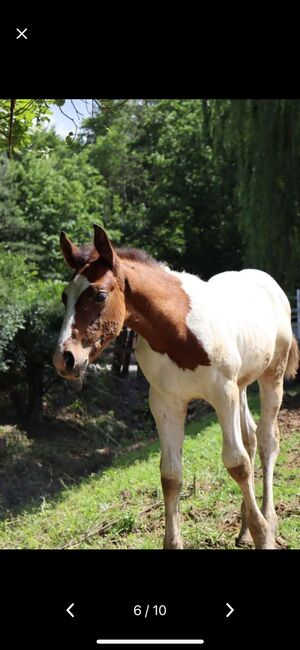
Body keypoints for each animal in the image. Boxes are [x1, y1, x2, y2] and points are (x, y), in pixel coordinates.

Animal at [52, 223, 298, 548]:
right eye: (65, 297)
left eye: (99, 295)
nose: (64, 359)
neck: (177, 330)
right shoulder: (165, 403)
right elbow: (170, 474)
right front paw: (174, 541)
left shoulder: (223, 393)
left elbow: (237, 463)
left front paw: (263, 534)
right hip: (243, 384)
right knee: (251, 437)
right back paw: (244, 528)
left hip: (272, 375)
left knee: (268, 439)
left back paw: (268, 520)